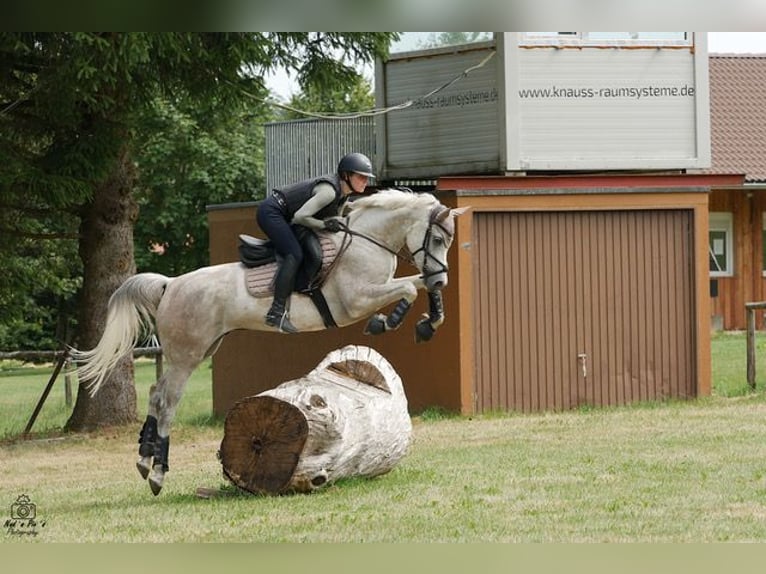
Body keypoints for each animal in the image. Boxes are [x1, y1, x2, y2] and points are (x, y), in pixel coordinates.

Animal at [72, 189, 468, 496]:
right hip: (187, 356)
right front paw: (388, 321)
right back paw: (157, 472)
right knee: (167, 401)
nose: (443, 278)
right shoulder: (355, 302)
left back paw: (144, 460)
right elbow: (407, 289)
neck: (367, 242)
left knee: (156, 393)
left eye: (449, 241)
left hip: (198, 351)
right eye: (436, 239)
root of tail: (171, 285)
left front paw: (429, 322)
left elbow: (417, 284)